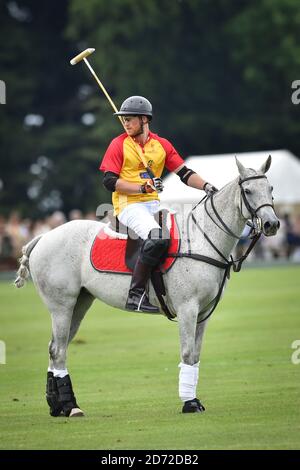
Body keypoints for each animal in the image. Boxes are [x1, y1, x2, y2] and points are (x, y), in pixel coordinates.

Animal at [15, 157, 278, 414]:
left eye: (271, 188)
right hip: (61, 304)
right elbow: (187, 352)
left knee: (55, 347)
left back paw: (56, 405)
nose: (272, 224)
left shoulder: (204, 312)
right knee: (58, 350)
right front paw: (189, 403)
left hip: (80, 302)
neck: (203, 240)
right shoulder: (187, 308)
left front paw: (194, 399)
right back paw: (71, 407)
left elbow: (195, 355)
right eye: (248, 190)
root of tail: (43, 237)